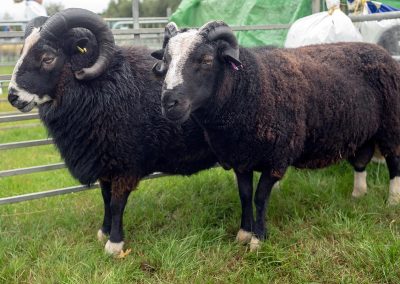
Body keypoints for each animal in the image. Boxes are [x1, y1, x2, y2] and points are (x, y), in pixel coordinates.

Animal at [6, 9, 216, 255]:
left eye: (48, 58)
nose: (12, 96)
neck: (101, 87)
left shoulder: (126, 165)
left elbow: (117, 204)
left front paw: (115, 244)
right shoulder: (104, 162)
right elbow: (105, 199)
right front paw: (103, 232)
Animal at [155, 20, 400, 251]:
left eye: (206, 60)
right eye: (166, 61)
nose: (169, 103)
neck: (249, 88)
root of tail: (381, 51)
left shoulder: (277, 159)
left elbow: (260, 198)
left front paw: (258, 240)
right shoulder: (240, 159)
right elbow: (245, 195)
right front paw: (243, 234)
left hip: (390, 126)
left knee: (393, 162)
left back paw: (392, 200)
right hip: (366, 131)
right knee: (361, 161)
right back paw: (358, 194)